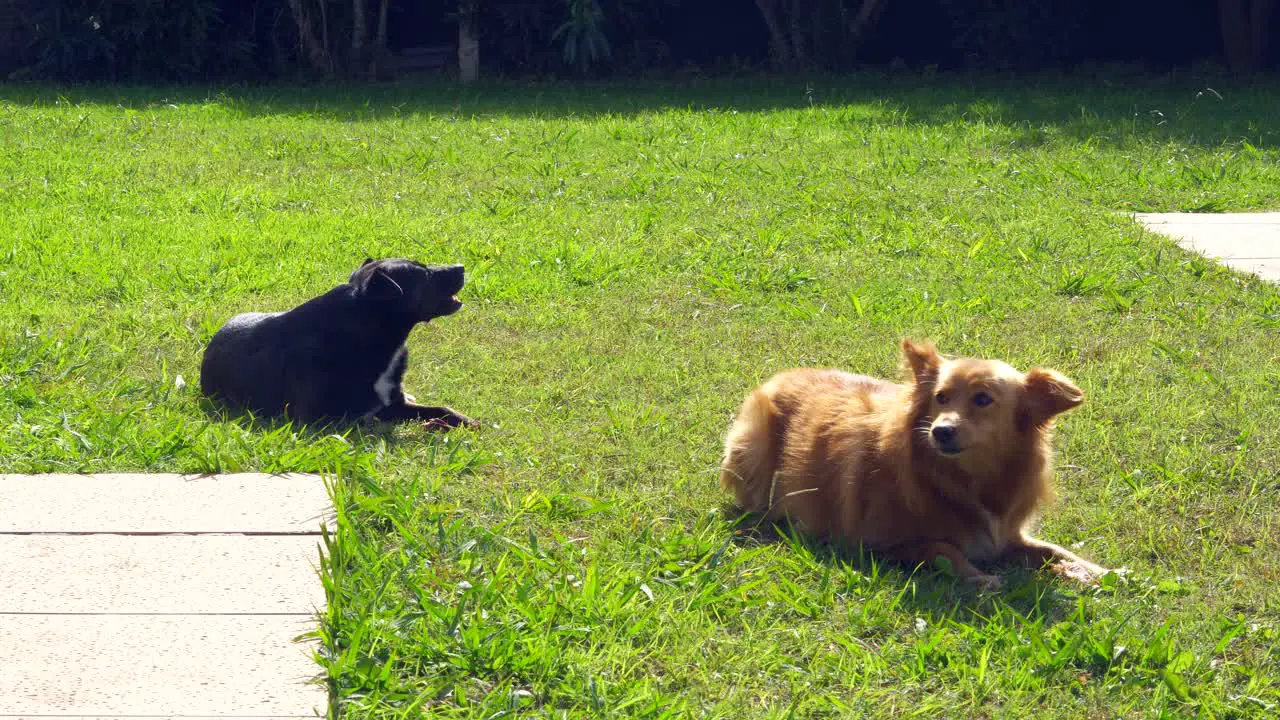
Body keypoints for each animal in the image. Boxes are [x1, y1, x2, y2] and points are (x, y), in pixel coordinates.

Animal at [199, 256, 481, 427]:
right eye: (423, 275)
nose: (461, 267)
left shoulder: (395, 403)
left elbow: (442, 409)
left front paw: (466, 422)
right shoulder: (314, 419)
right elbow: (369, 419)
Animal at [721, 338, 1111, 586]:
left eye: (983, 399)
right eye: (941, 398)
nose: (940, 431)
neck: (962, 482)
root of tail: (781, 375)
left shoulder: (1008, 535)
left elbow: (1054, 550)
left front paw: (1100, 572)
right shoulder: (881, 545)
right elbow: (942, 549)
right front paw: (980, 577)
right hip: (753, 449)